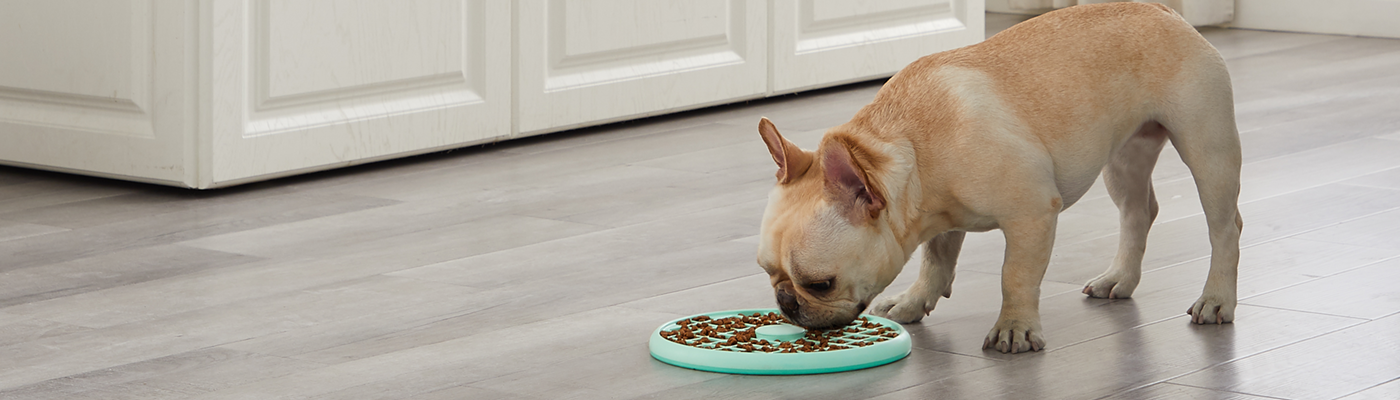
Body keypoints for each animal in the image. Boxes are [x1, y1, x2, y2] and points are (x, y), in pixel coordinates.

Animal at [761, 2, 1243, 352]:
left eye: (820, 284)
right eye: (768, 271)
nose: (785, 302)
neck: (908, 147)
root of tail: (1162, 10)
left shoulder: (1031, 214)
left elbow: (1015, 275)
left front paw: (1015, 328)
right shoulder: (940, 219)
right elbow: (935, 262)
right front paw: (914, 300)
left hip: (1208, 149)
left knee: (1225, 226)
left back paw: (1216, 299)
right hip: (1124, 160)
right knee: (1137, 212)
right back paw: (1119, 278)